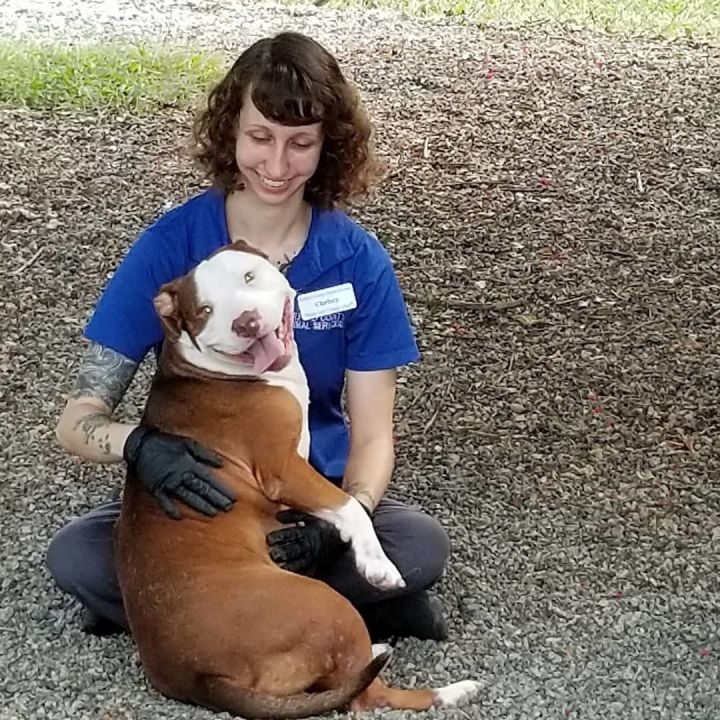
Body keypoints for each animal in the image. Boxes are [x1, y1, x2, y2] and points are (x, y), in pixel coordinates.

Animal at [115, 240, 480, 716]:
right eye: (206, 310)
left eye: (248, 277)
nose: (246, 321)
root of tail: (204, 679)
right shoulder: (282, 467)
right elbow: (348, 505)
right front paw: (376, 564)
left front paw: (313, 538)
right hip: (329, 607)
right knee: (368, 696)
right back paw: (451, 687)